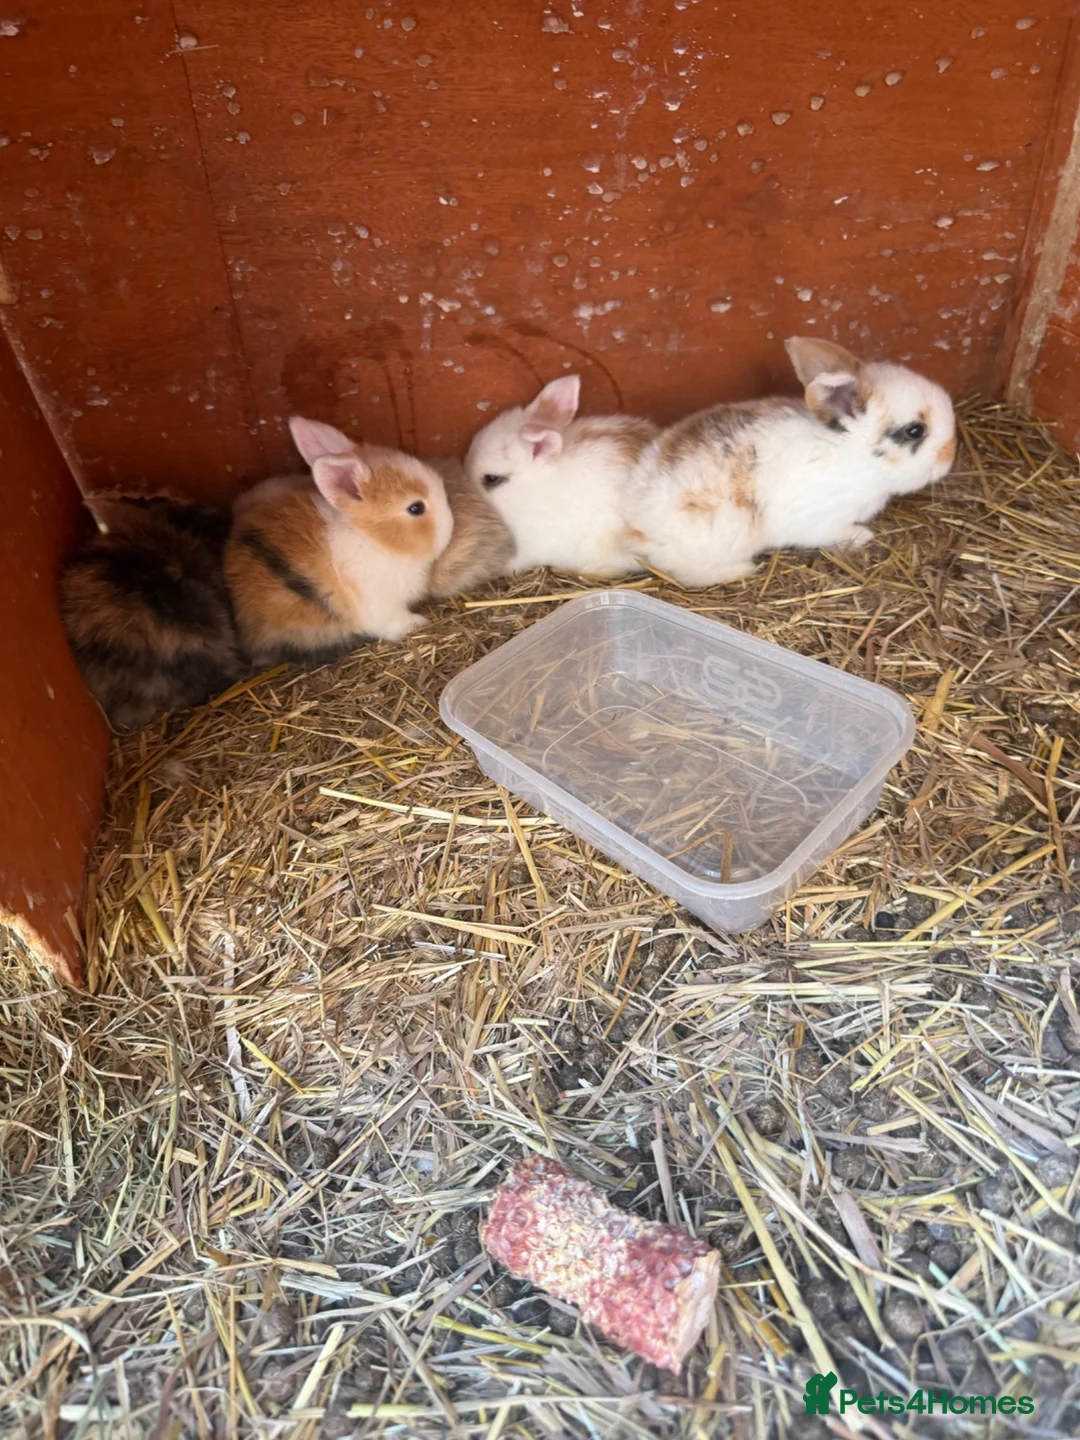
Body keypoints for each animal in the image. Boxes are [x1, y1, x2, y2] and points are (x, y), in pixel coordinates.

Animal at [224, 416, 453, 667]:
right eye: (415, 508)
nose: (450, 525)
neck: (370, 538)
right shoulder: (381, 606)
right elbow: (396, 623)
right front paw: (420, 622)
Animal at [626, 337, 957, 589]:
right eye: (915, 431)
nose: (951, 454)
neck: (850, 454)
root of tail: (637, 525)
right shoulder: (823, 522)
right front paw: (862, 536)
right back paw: (742, 570)